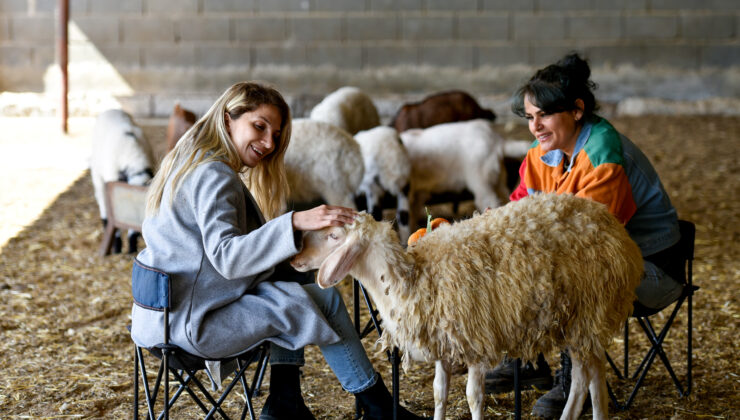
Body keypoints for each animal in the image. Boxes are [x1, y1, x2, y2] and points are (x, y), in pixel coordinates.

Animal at [292, 194, 644, 420]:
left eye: (333, 235)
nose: (296, 258)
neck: (414, 277)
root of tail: (609, 221)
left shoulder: (475, 340)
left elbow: (474, 398)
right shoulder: (443, 345)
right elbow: (439, 393)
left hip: (588, 312)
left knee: (583, 379)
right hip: (583, 320)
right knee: (595, 375)